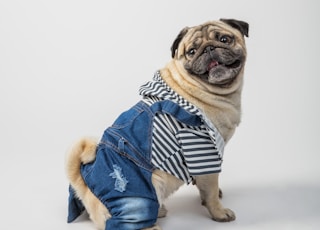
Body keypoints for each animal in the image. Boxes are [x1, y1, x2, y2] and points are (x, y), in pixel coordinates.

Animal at [65, 18, 250, 229]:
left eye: (224, 39)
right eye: (192, 51)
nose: (209, 48)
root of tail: (85, 188)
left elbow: (206, 185)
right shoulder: (203, 151)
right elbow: (210, 189)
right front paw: (218, 211)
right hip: (137, 199)